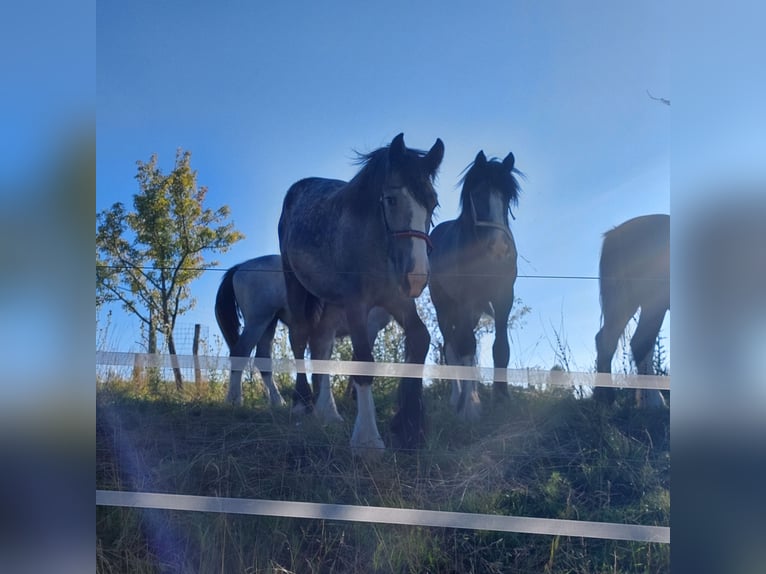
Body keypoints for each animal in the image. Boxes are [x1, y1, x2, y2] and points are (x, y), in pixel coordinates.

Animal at [218, 254, 392, 416]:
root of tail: (241, 266)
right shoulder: (370, 327)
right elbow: (359, 361)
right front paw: (352, 398)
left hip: (268, 323)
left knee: (263, 359)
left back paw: (277, 401)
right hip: (257, 321)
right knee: (240, 352)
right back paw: (234, 400)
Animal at [278, 133, 444, 456]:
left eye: (432, 203)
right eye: (391, 199)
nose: (417, 276)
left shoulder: (398, 299)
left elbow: (420, 339)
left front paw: (409, 427)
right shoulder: (357, 304)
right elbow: (364, 361)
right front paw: (367, 440)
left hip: (331, 304)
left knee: (321, 344)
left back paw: (328, 411)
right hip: (296, 286)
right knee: (300, 338)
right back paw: (302, 404)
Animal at [432, 151, 520, 420]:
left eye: (507, 197)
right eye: (478, 193)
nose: (500, 248)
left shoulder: (503, 298)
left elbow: (500, 347)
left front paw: (501, 398)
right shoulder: (463, 300)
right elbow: (467, 347)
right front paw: (469, 407)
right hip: (444, 307)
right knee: (451, 349)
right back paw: (457, 398)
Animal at [596, 214, 668, 408]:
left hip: (623, 305)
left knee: (605, 341)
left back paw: (606, 400)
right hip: (653, 303)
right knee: (640, 343)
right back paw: (655, 402)